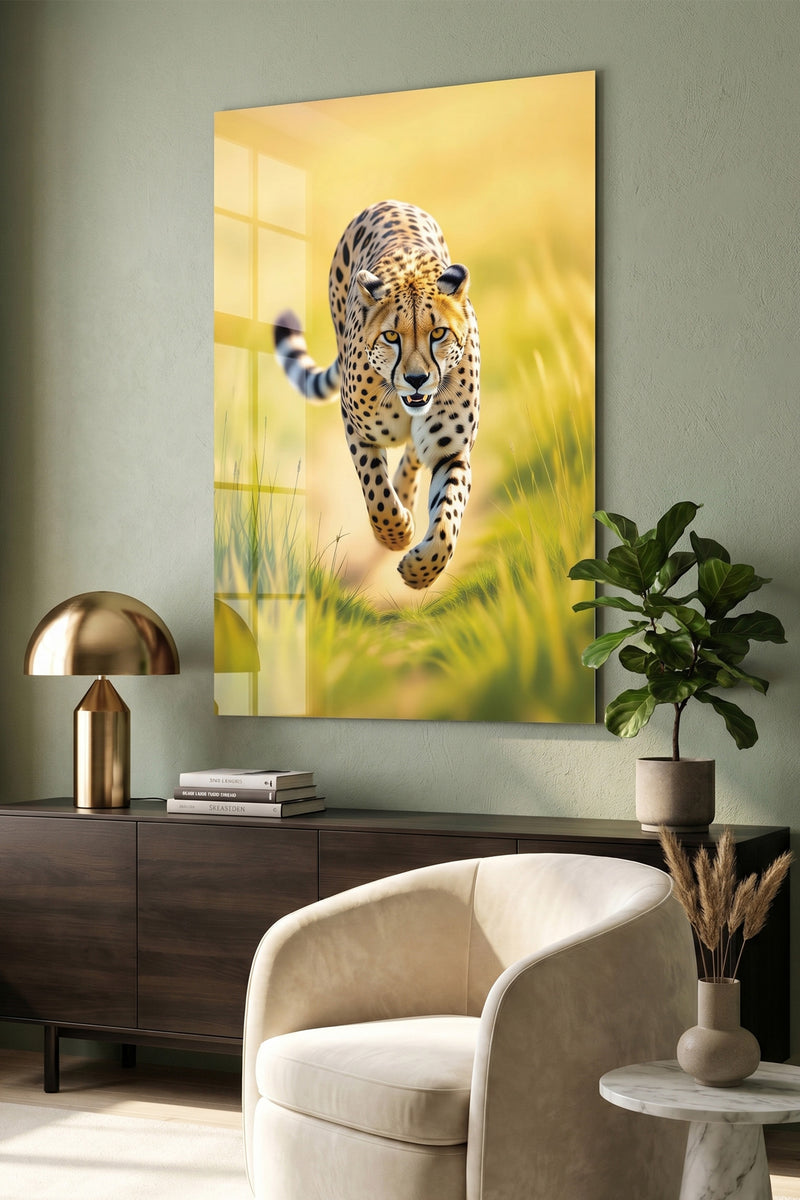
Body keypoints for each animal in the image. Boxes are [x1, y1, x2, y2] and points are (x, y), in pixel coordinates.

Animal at [273, 199, 480, 590]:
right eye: (391, 336)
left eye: (438, 333)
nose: (417, 379)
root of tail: (391, 202)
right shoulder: (358, 431)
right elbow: (377, 494)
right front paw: (396, 534)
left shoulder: (451, 451)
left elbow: (448, 522)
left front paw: (420, 571)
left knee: (413, 454)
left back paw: (406, 491)